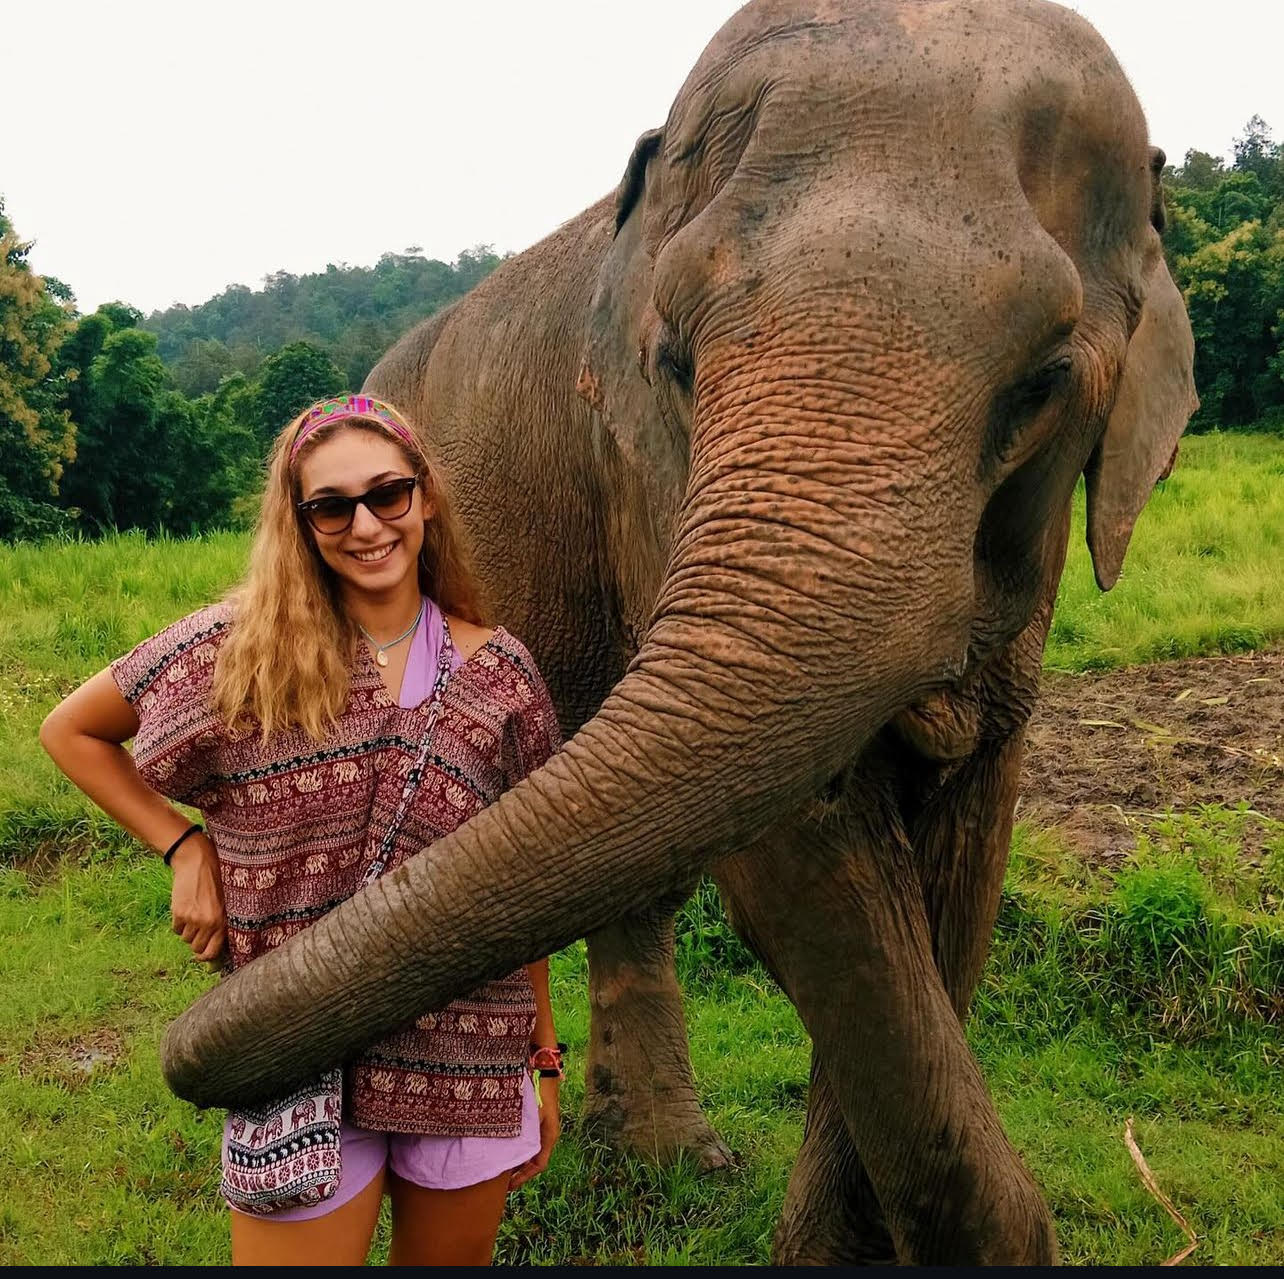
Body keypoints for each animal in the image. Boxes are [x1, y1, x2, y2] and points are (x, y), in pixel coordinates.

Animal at [160, 0, 1191, 1258]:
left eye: (1045, 382)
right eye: (676, 360)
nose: (197, 1018)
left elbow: (957, 864)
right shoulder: (642, 473)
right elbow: (800, 845)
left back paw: (661, 1158)